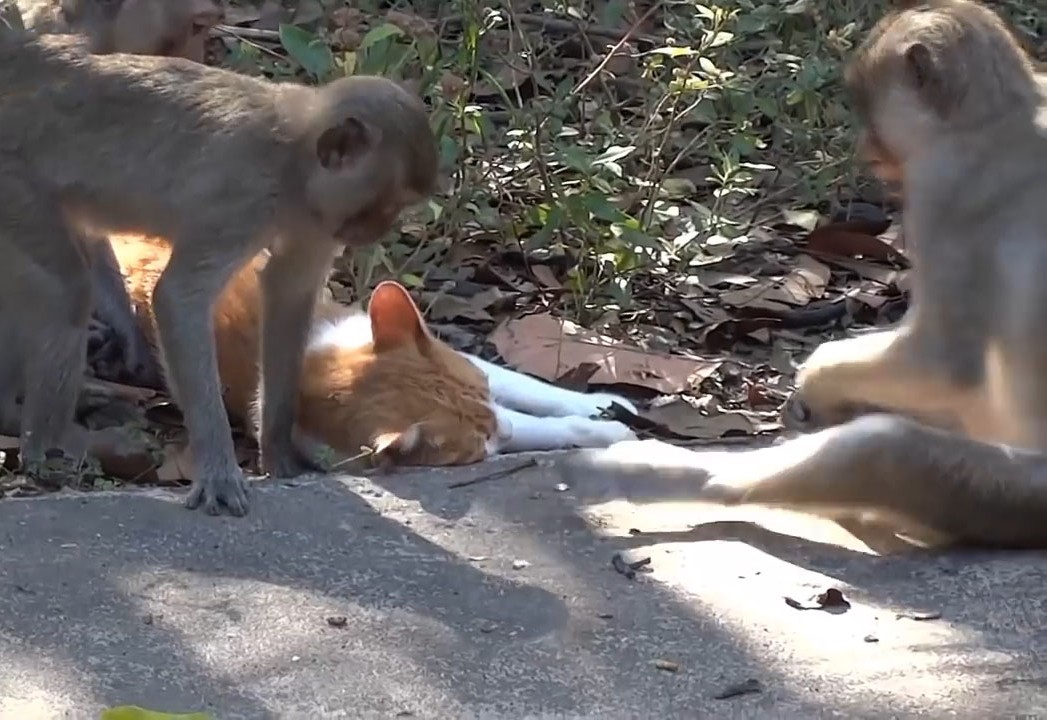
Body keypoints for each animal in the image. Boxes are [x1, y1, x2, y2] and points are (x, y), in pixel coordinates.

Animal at [0, 33, 437, 514]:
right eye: (387, 202)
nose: (380, 229)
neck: (292, 158)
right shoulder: (244, 198)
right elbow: (178, 297)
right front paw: (219, 471)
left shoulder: (315, 217)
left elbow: (288, 294)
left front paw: (278, 453)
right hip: (14, 184)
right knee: (67, 290)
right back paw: (42, 448)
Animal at [110, 230, 640, 466]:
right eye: (480, 441)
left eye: (485, 388)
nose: (500, 429)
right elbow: (537, 427)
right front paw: (604, 431)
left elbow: (531, 387)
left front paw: (601, 403)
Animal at [557, 1, 1047, 552]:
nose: (864, 146)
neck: (999, 113)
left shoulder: (945, 193)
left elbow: (944, 362)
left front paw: (815, 378)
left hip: (1022, 495)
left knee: (882, 451)